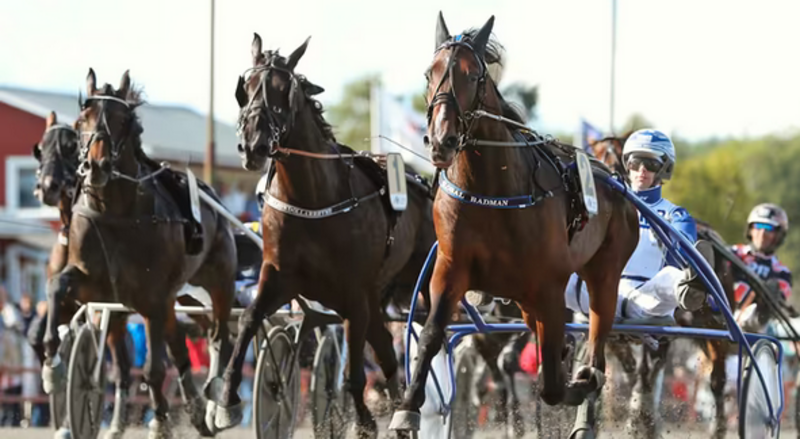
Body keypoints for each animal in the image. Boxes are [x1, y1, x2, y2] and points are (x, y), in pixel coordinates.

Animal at [39, 69, 238, 439]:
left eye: (121, 120)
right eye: (81, 121)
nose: (97, 165)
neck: (116, 213)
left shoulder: (153, 298)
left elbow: (153, 370)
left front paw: (160, 422)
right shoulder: (97, 286)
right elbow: (57, 286)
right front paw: (52, 367)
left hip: (218, 282)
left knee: (219, 335)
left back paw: (219, 406)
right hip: (177, 298)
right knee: (180, 348)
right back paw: (196, 409)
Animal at [203, 32, 434, 438]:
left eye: (283, 90)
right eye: (246, 87)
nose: (254, 145)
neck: (313, 200)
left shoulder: (353, 295)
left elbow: (353, 374)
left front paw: (363, 421)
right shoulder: (279, 276)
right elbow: (248, 319)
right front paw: (226, 402)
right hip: (375, 296)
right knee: (385, 350)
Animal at [388, 13, 636, 439]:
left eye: (472, 75)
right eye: (429, 73)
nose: (441, 140)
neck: (493, 192)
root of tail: (613, 179)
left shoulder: (550, 286)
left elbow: (552, 384)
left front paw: (577, 383)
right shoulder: (451, 268)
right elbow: (432, 334)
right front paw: (406, 410)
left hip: (603, 273)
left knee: (598, 344)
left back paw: (587, 391)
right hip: (522, 299)